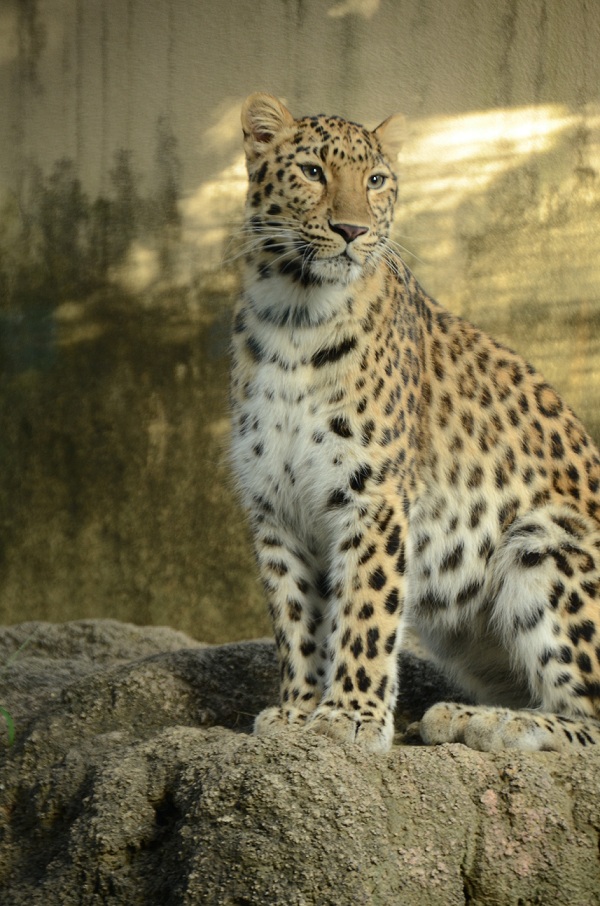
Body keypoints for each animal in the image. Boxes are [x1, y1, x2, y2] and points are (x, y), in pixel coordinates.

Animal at [229, 93, 600, 756]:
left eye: (376, 181)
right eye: (313, 172)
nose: (352, 230)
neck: (293, 316)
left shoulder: (372, 494)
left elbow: (365, 609)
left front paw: (350, 717)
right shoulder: (273, 503)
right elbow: (296, 616)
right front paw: (297, 712)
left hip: (545, 541)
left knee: (590, 717)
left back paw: (492, 723)